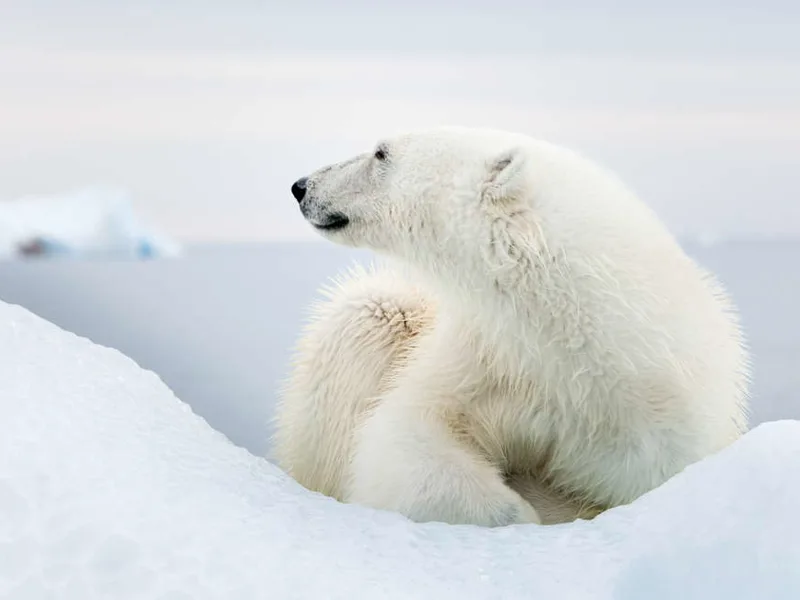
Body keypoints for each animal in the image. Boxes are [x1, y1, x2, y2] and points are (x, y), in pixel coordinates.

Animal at [272, 126, 750, 527]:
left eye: (380, 152)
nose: (300, 186)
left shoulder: (662, 426)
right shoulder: (489, 358)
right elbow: (407, 438)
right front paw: (518, 509)